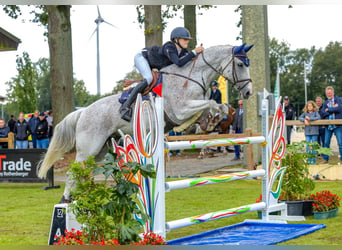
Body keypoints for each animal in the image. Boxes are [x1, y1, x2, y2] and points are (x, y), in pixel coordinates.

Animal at [38, 44, 254, 202]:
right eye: (240, 65)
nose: (249, 92)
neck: (192, 76)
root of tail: (83, 112)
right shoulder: (181, 110)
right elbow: (210, 103)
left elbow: (216, 106)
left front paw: (211, 121)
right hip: (88, 148)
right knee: (72, 173)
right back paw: (66, 200)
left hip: (100, 150)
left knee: (84, 172)